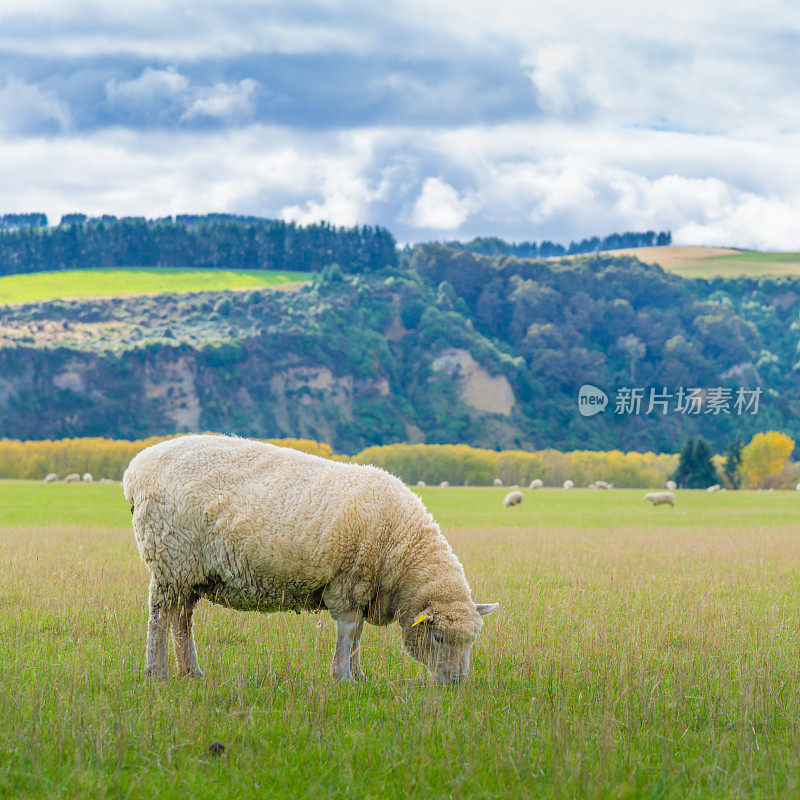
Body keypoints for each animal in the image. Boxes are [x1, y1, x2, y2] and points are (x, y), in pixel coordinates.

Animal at [123, 434, 500, 684]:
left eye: (471, 641)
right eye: (438, 638)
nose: (455, 683)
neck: (403, 549)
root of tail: (137, 468)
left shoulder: (362, 589)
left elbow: (357, 635)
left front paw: (358, 674)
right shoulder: (349, 582)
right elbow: (349, 631)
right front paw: (344, 677)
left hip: (190, 573)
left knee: (181, 619)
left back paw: (191, 672)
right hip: (170, 559)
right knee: (159, 617)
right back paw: (157, 673)